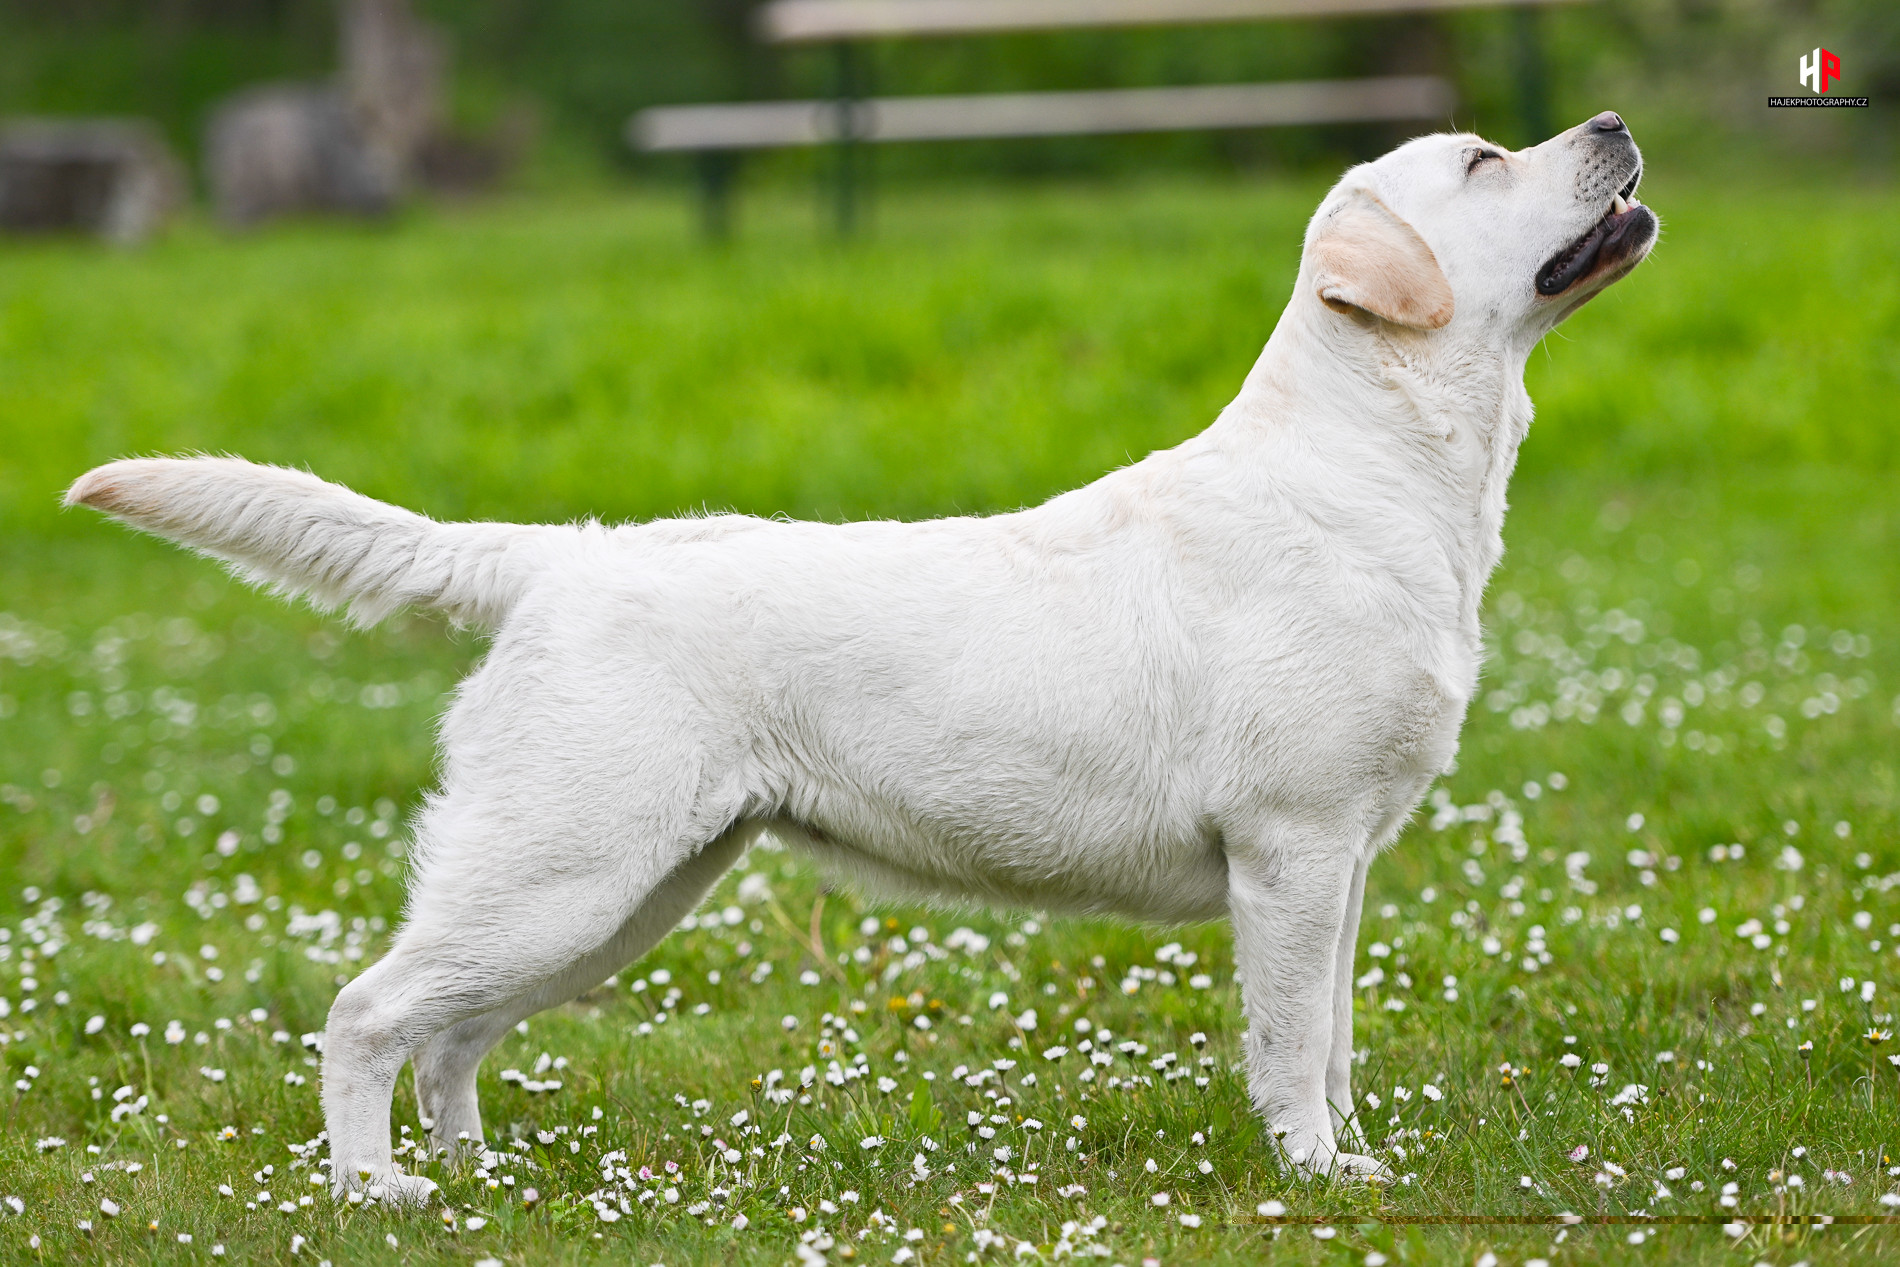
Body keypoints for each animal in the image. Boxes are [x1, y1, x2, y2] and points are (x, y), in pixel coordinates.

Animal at [66, 109, 1656, 1200]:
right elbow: (1286, 1042)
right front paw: (1315, 1172)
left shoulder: (1343, 859)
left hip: (622, 887)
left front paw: (1359, 1156)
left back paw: (472, 1174)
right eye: (1482, 161)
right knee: (367, 1010)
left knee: (451, 1031)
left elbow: (1329, 1032)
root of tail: (555, 556)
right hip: (561, 862)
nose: (1610, 127)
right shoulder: (1293, 846)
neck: (1372, 466)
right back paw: (375, 1188)